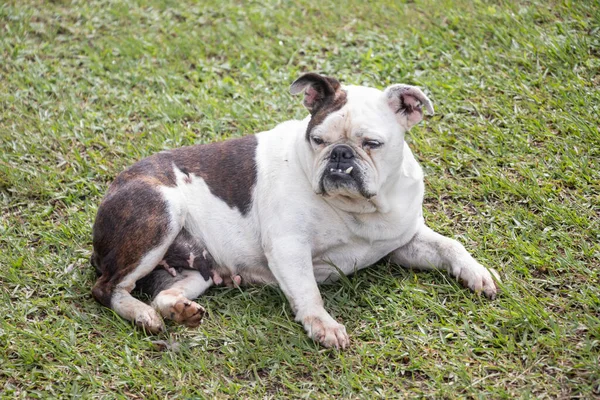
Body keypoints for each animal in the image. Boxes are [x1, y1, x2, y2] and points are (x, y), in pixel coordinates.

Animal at [92, 73, 496, 348]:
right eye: (317, 140)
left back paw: (179, 311)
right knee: (107, 288)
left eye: (372, 143)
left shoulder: (404, 241)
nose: (340, 154)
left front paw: (477, 272)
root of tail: (115, 185)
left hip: (197, 272)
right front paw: (323, 325)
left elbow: (450, 245)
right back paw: (142, 315)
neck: (357, 209)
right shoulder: (289, 248)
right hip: (162, 213)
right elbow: (307, 292)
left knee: (163, 294)